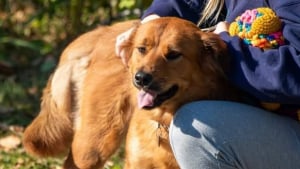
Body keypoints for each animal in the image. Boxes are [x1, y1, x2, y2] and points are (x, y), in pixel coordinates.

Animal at [22, 17, 239, 169]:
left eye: (173, 55)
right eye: (142, 49)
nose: (141, 78)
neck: (164, 120)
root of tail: (102, 32)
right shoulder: (138, 162)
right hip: (93, 146)